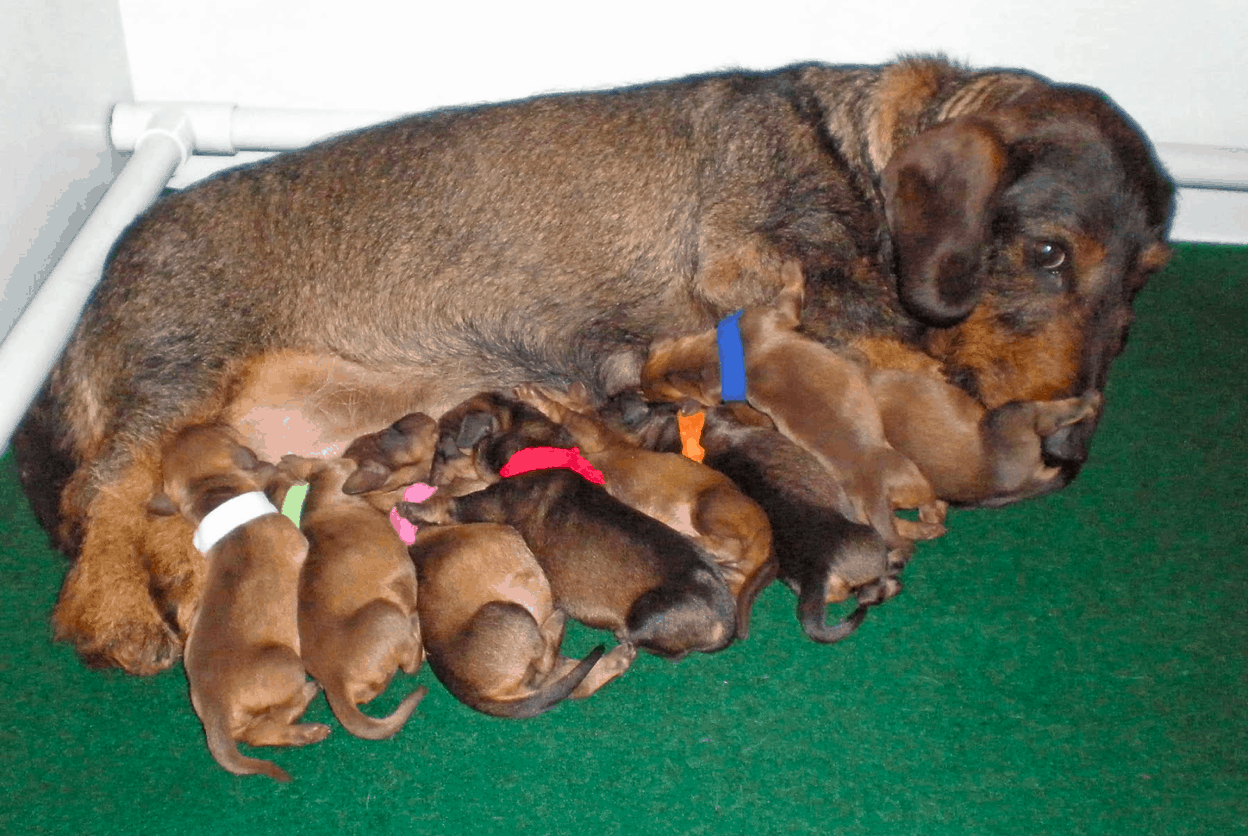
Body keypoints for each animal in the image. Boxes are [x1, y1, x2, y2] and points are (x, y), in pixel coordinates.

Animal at [146, 426, 329, 788]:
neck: (217, 500)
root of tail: (216, 706)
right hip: (288, 663)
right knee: (269, 721)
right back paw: (308, 703)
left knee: (258, 733)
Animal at [411, 524, 633, 718]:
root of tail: (472, 692)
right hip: (512, 612)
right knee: (548, 666)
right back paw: (560, 621)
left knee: (564, 680)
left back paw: (617, 659)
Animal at [514, 384, 768, 638]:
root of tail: (767, 542)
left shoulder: (590, 431)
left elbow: (564, 412)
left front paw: (534, 396)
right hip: (732, 573)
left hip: (708, 505)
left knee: (732, 545)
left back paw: (692, 537)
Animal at [643, 262, 943, 549]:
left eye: (657, 397)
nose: (642, 395)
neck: (713, 358)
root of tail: (874, 495)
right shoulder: (780, 313)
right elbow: (792, 289)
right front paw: (792, 267)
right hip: (912, 478)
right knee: (922, 505)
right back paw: (936, 516)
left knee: (899, 527)